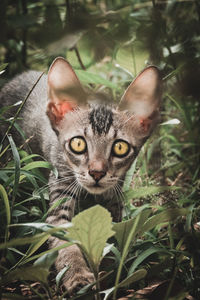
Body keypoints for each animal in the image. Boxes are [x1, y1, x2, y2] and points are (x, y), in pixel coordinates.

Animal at [0, 57, 162, 294]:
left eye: (120, 148)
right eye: (78, 144)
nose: (97, 172)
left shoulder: (113, 201)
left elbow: (109, 238)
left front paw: (108, 272)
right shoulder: (61, 188)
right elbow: (64, 242)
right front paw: (78, 275)